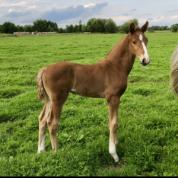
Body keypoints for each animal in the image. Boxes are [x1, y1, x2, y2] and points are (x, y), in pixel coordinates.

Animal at [36, 21, 150, 163]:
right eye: (134, 42)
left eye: (146, 40)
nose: (146, 60)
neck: (115, 68)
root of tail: (45, 69)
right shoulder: (112, 98)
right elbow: (113, 123)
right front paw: (114, 154)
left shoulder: (117, 98)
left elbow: (115, 122)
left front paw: (116, 143)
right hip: (58, 99)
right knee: (52, 123)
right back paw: (57, 153)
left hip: (49, 99)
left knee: (42, 119)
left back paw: (40, 150)